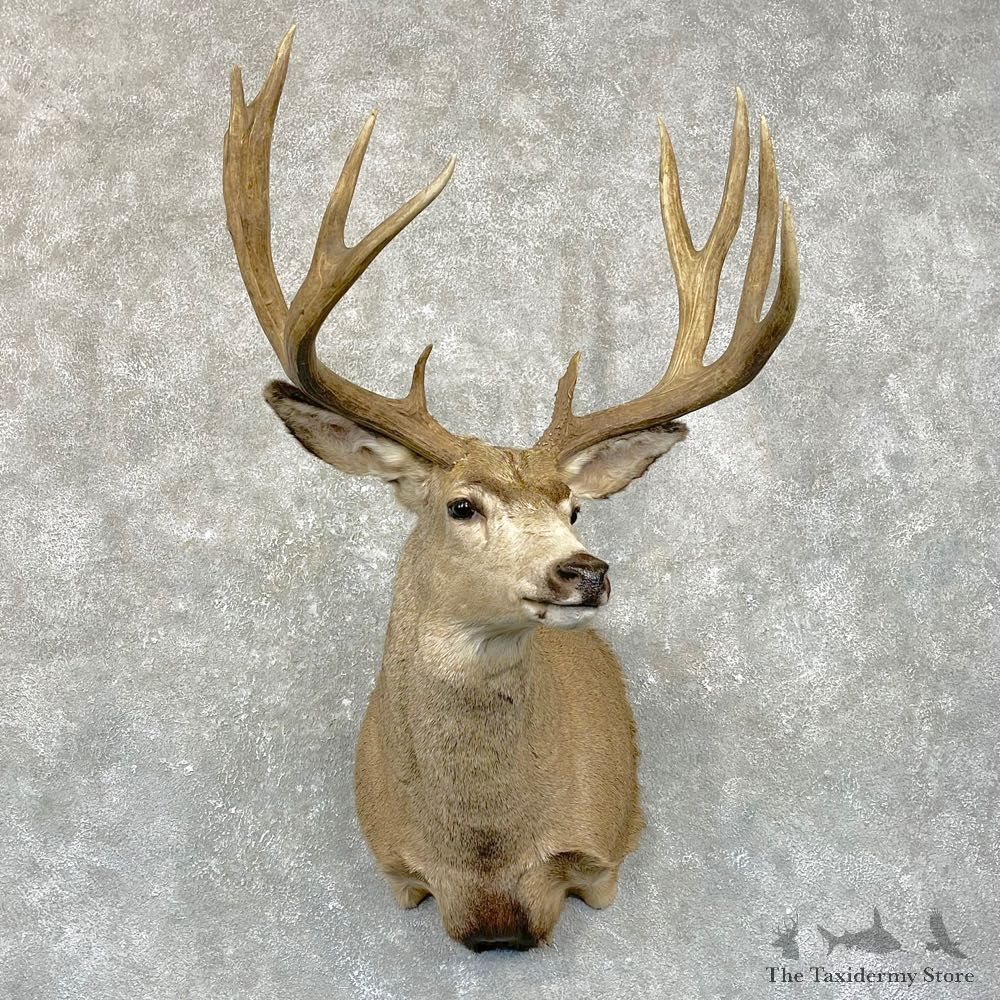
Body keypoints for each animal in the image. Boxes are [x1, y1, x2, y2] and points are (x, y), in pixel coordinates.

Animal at [222, 27, 799, 952]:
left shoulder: (604, 854)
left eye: (575, 506)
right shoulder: (396, 869)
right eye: (462, 505)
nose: (585, 570)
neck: (486, 863)